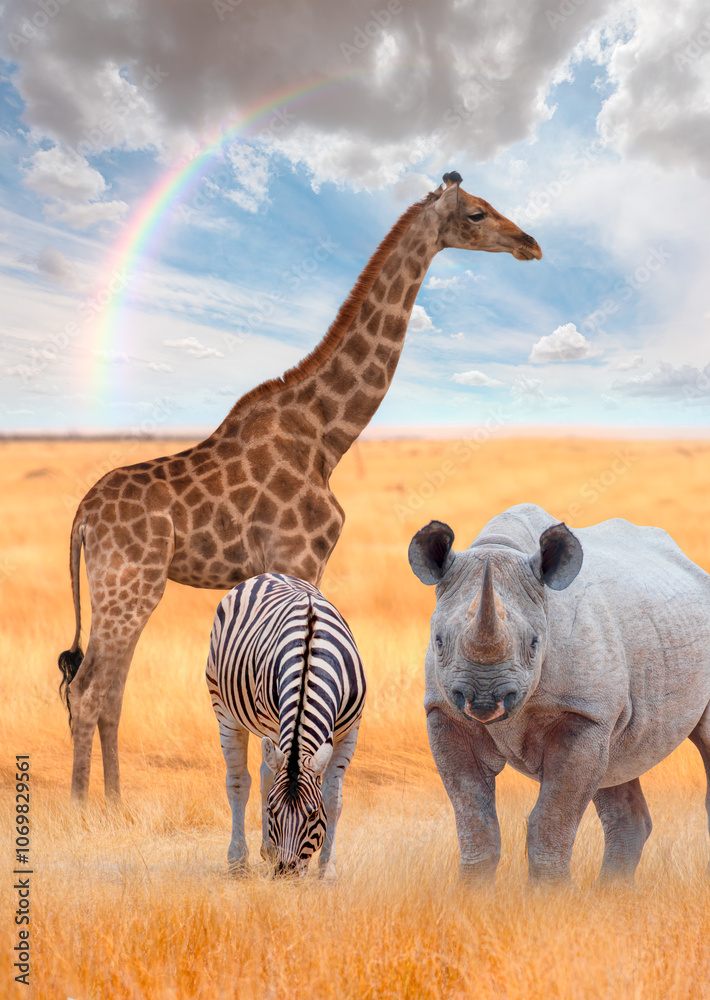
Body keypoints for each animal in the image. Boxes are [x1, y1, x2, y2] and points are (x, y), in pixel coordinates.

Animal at [58, 170, 544, 796]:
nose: (530, 243)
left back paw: (114, 804)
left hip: (119, 588)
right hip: (130, 585)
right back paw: (86, 808)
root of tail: (81, 517)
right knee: (90, 688)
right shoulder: (298, 557)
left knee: (104, 689)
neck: (326, 435)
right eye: (478, 213)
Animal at [206, 580, 368, 876]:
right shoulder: (274, 723)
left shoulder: (350, 731)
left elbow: (333, 797)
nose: (286, 873)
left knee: (263, 774)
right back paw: (239, 860)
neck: (311, 661)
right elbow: (268, 781)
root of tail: (268, 575)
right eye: (272, 810)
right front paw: (271, 850)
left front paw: (327, 870)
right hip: (223, 707)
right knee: (239, 781)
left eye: (313, 814)